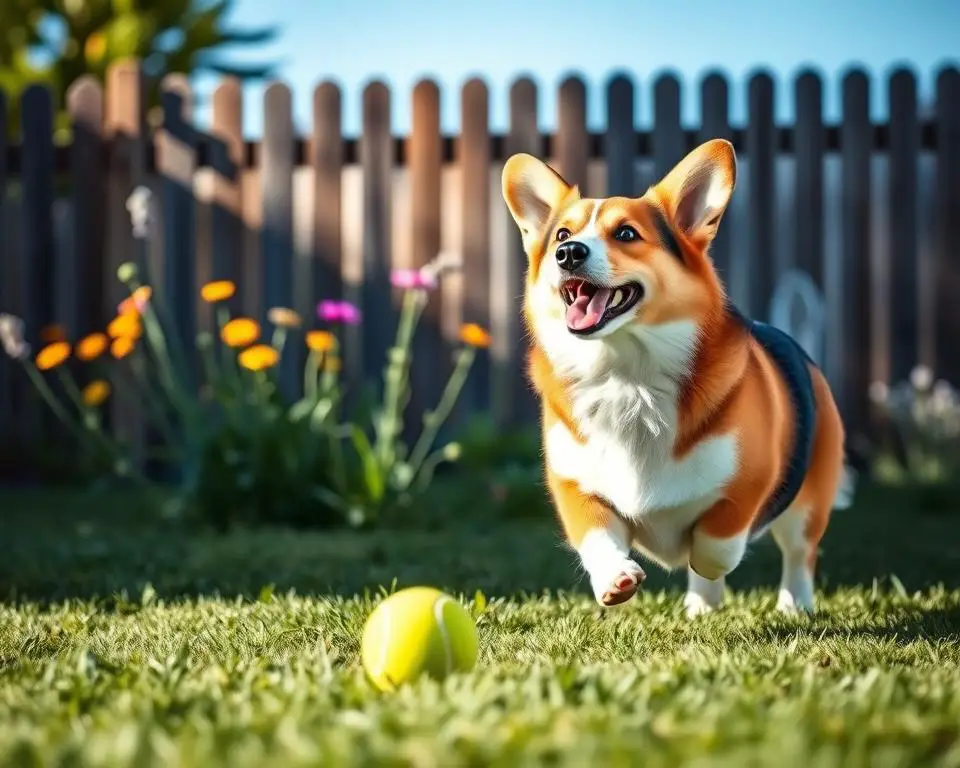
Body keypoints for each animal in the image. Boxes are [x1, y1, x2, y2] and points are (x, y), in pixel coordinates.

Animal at [498, 140, 852, 616]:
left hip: (809, 503)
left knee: (800, 553)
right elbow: (596, 537)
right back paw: (702, 606)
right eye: (561, 235)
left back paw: (793, 603)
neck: (626, 375)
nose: (568, 253)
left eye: (626, 234)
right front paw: (615, 579)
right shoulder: (575, 485)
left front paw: (704, 560)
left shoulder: (748, 484)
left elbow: (716, 542)